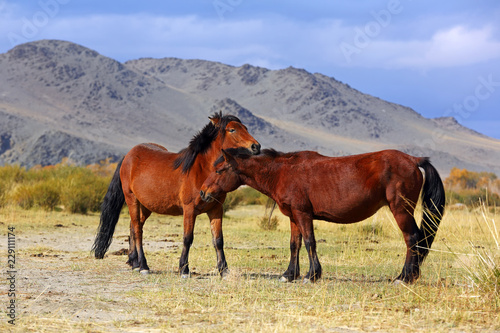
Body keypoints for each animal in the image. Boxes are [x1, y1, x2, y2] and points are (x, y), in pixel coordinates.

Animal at [92, 113, 262, 276]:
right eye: (232, 129)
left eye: (245, 128)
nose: (256, 146)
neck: (201, 169)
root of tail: (128, 156)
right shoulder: (189, 210)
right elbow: (187, 238)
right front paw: (184, 269)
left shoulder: (216, 210)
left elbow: (218, 240)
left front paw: (224, 270)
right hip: (131, 199)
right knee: (138, 230)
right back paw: (143, 266)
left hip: (146, 205)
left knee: (134, 227)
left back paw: (134, 262)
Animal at [201, 148, 448, 282]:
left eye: (219, 170)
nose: (203, 192)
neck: (282, 173)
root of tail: (413, 160)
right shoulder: (293, 216)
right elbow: (295, 244)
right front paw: (289, 274)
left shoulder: (303, 214)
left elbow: (310, 242)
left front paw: (312, 275)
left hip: (401, 210)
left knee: (412, 239)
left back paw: (404, 278)